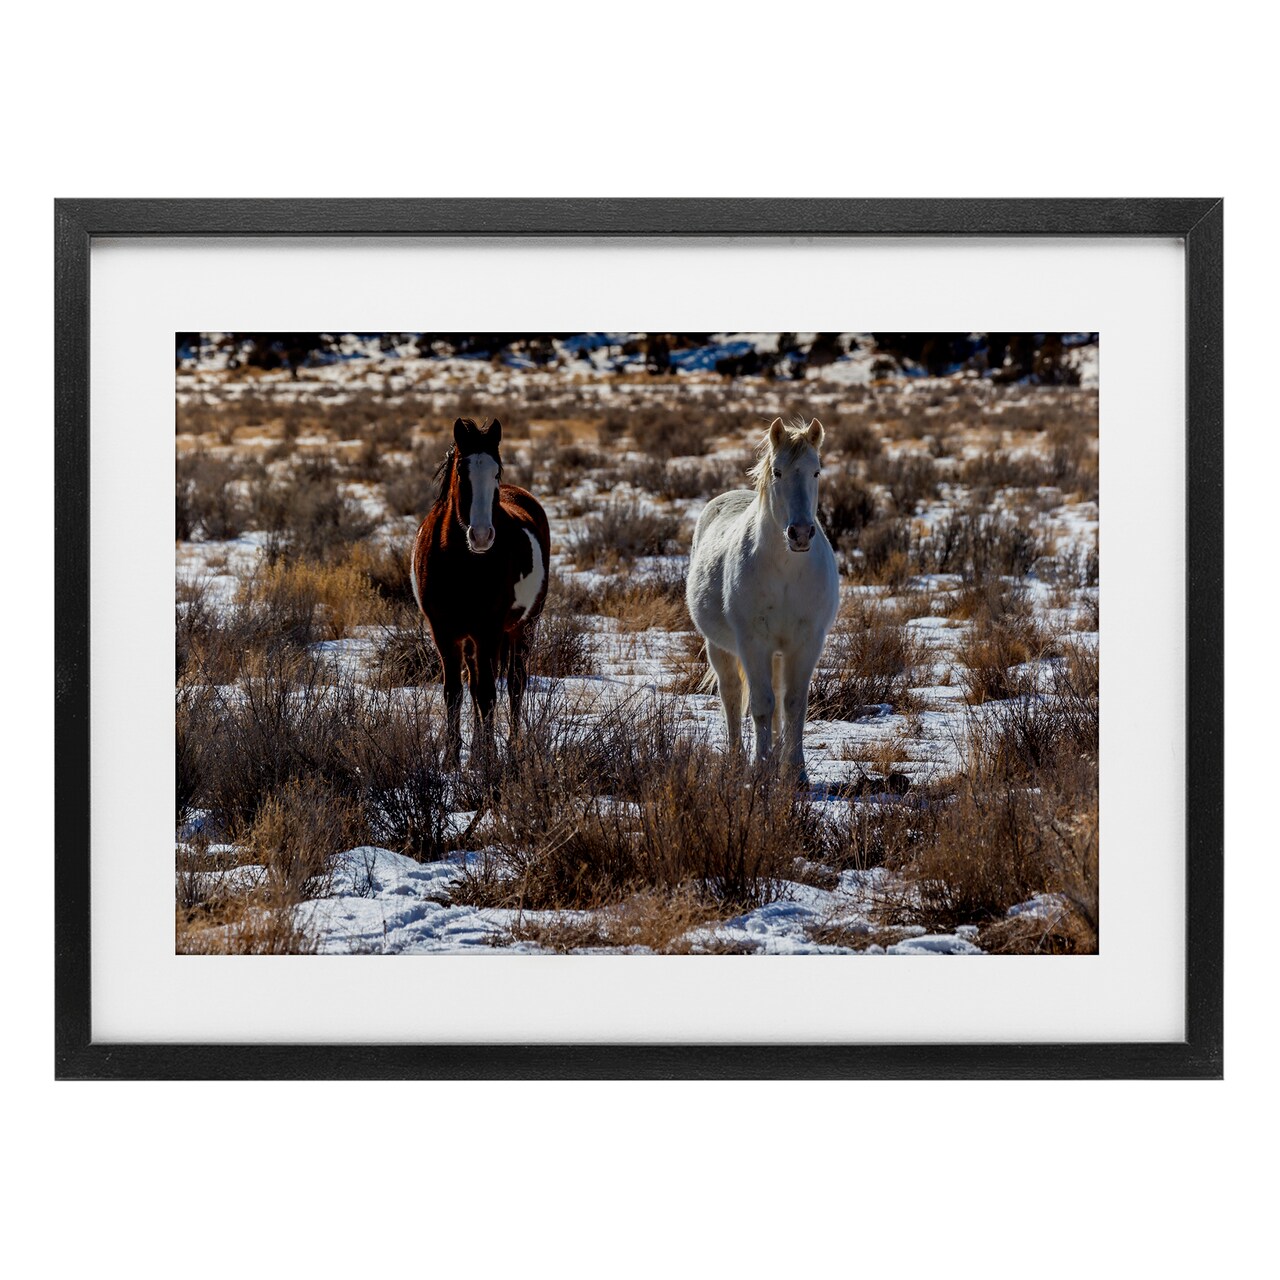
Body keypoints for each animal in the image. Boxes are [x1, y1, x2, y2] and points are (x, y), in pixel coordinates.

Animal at [411, 417, 551, 767]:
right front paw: (452, 759)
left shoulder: (488, 629)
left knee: (515, 683)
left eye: (496, 472)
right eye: (462, 471)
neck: (462, 564)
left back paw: (511, 747)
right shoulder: (444, 631)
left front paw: (487, 759)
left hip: (523, 626)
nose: (483, 536)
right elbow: (455, 692)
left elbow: (488, 693)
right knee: (475, 683)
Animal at [686, 417, 839, 782]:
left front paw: (796, 772)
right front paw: (761, 769)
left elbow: (794, 703)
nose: (800, 534)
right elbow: (761, 705)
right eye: (778, 472)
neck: (785, 569)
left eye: (816, 472)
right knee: (731, 694)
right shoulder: (753, 643)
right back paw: (737, 759)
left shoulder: (806, 643)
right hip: (720, 648)